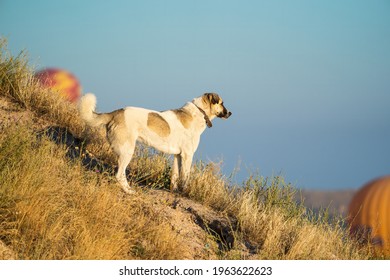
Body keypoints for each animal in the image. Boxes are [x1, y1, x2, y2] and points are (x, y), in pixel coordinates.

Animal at [78, 93, 232, 194]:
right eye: (222, 103)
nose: (230, 113)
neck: (199, 112)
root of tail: (115, 113)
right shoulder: (187, 155)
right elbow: (185, 177)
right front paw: (185, 192)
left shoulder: (177, 156)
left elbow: (175, 177)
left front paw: (174, 192)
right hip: (127, 151)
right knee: (119, 175)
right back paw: (129, 191)